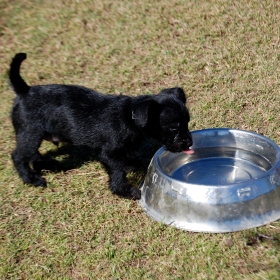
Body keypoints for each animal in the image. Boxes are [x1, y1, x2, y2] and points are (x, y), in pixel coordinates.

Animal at [8, 53, 192, 199]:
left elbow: (124, 159)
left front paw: (130, 166)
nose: (189, 142)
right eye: (174, 128)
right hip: (30, 133)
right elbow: (117, 172)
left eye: (187, 123)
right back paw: (31, 179)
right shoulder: (108, 154)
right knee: (19, 155)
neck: (130, 115)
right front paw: (125, 191)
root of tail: (25, 90)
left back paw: (47, 165)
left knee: (33, 154)